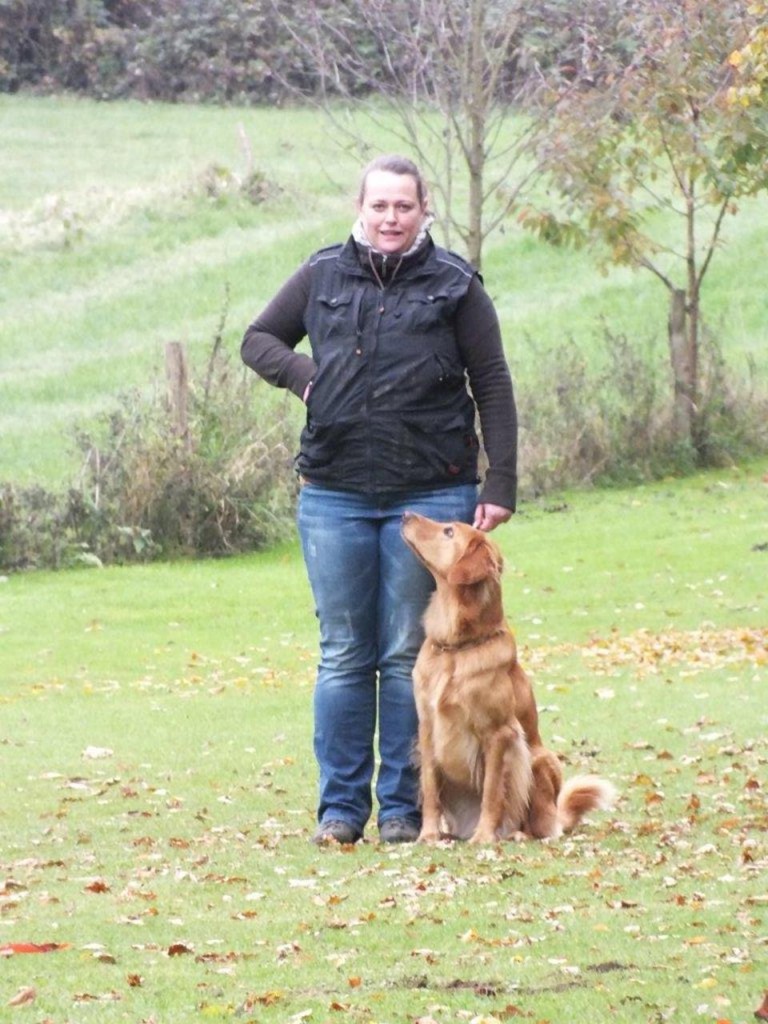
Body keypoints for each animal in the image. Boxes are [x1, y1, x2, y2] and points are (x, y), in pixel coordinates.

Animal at [399, 509, 618, 839]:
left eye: (449, 531)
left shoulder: (500, 734)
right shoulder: (426, 728)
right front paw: (428, 835)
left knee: (538, 825)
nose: (405, 514)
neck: (456, 648)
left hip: (539, 760)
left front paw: (484, 837)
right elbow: (430, 789)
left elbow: (492, 792)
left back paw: (514, 833)